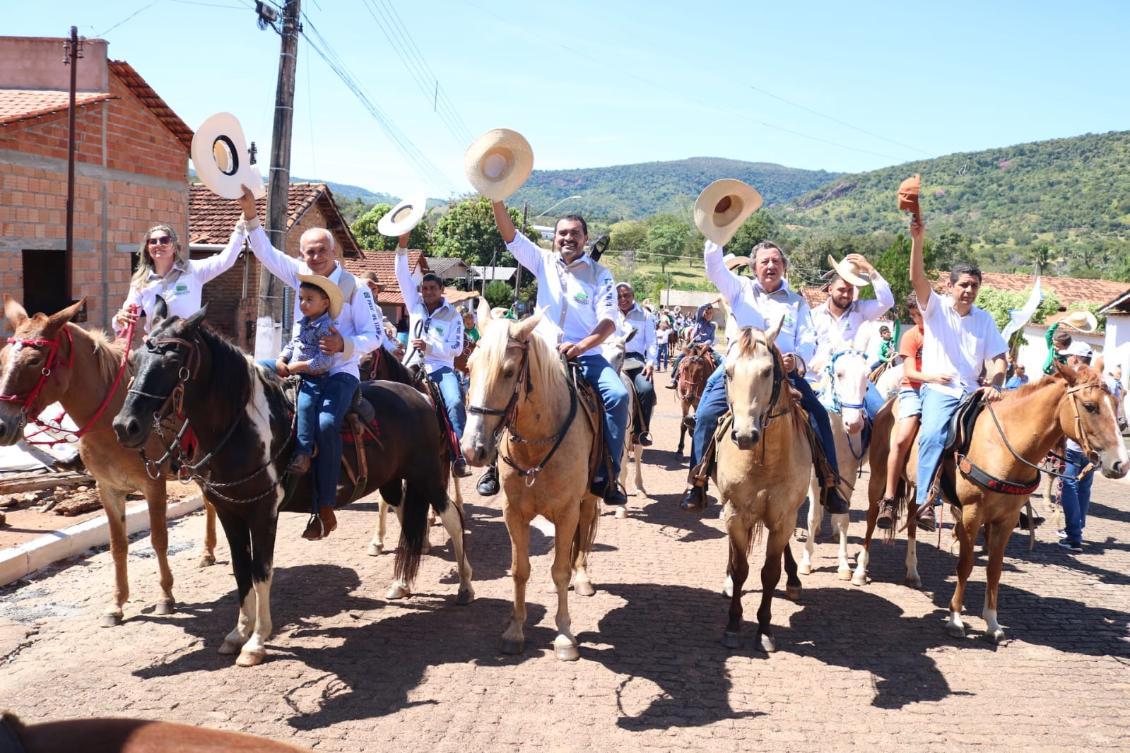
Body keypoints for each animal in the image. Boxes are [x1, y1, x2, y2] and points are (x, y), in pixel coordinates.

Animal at [107, 307, 470, 664]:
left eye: (173, 360)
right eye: (134, 360)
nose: (125, 426)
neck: (243, 428)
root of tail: (419, 395)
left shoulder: (264, 512)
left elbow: (261, 571)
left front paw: (256, 642)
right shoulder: (229, 512)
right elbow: (241, 570)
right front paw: (238, 633)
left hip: (428, 475)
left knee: (452, 517)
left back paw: (465, 586)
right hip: (393, 481)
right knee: (406, 521)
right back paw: (402, 583)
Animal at [461, 305, 605, 655]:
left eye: (509, 371)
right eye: (469, 366)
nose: (472, 449)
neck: (536, 443)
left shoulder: (566, 512)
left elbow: (560, 569)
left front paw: (565, 635)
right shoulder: (513, 513)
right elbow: (520, 570)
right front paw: (515, 630)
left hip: (587, 500)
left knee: (584, 534)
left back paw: (581, 579)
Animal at [714, 323, 813, 651]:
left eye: (768, 371)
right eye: (728, 371)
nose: (745, 435)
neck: (763, 460)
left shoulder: (784, 518)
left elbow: (770, 572)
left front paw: (765, 629)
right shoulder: (735, 514)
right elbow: (741, 567)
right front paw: (732, 625)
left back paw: (794, 580)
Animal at [795, 345, 872, 574]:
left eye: (867, 375)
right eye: (839, 374)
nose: (854, 424)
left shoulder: (848, 474)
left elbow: (845, 518)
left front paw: (845, 565)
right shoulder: (815, 475)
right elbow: (811, 517)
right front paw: (806, 561)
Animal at [849, 364, 1125, 637]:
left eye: (1116, 401)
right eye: (1090, 406)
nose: (1121, 464)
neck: (1004, 447)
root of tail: (890, 403)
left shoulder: (1006, 519)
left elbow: (994, 568)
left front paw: (992, 622)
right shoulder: (972, 514)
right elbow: (966, 564)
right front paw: (956, 618)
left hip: (920, 487)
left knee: (913, 521)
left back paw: (913, 572)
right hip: (879, 477)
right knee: (872, 519)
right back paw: (861, 570)